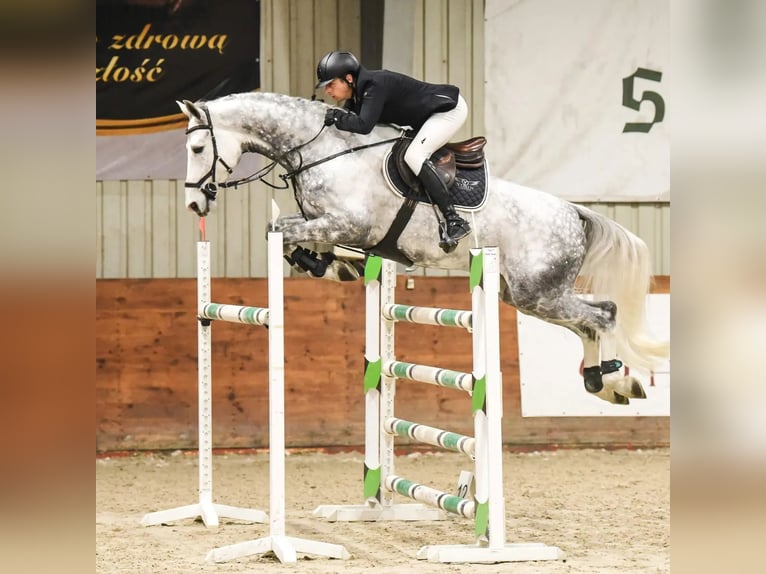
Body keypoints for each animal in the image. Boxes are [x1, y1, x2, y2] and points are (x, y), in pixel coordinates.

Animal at [177, 91, 668, 404]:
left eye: (198, 147)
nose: (194, 203)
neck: (321, 149)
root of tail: (573, 212)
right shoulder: (330, 222)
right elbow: (282, 229)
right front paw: (329, 265)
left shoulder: (350, 222)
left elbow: (284, 228)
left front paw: (325, 262)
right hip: (525, 294)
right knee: (592, 319)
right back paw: (603, 382)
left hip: (539, 292)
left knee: (603, 315)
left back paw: (618, 382)